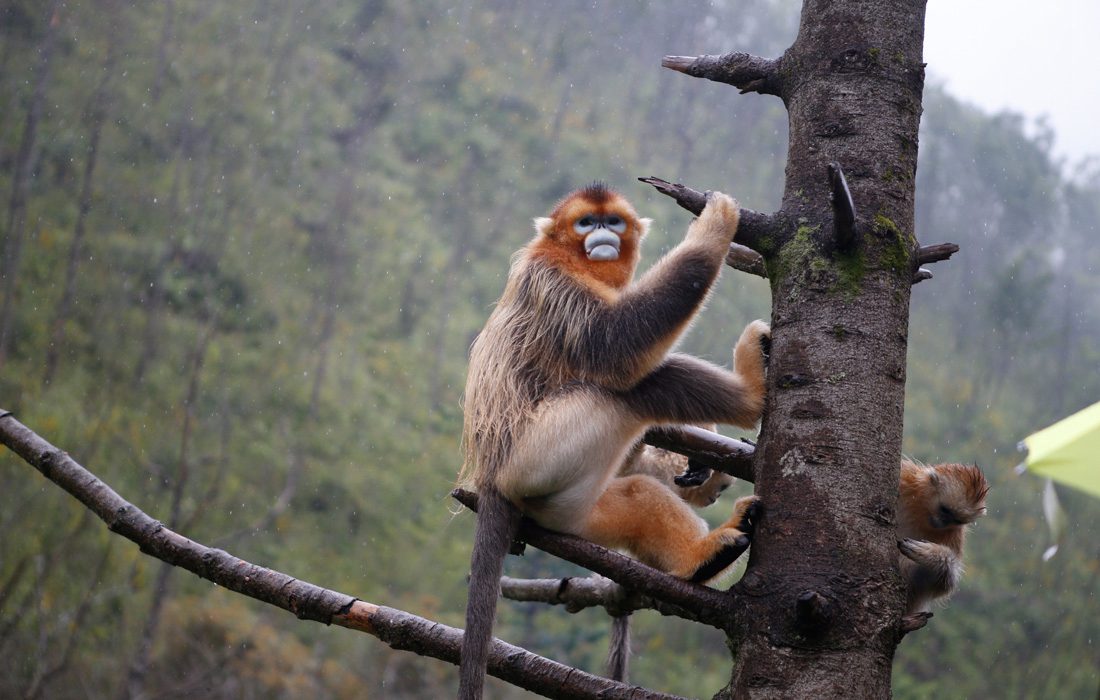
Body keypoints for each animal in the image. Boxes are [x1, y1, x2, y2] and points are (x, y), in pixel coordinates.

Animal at [893, 462, 990, 616]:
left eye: (957, 520)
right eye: (944, 509)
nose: (941, 523)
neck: (921, 509)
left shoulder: (954, 533)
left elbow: (944, 584)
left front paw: (930, 555)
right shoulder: (905, 478)